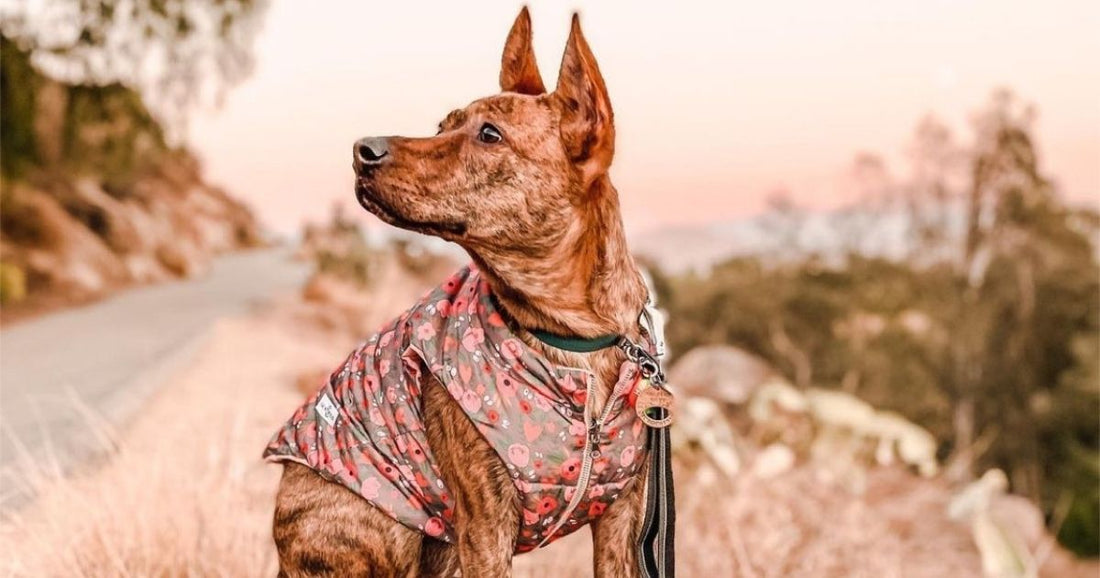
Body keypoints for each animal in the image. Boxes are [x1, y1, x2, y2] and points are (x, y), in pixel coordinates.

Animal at [269, 9, 655, 576]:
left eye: (489, 134)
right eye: (442, 125)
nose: (362, 150)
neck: (569, 339)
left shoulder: (623, 518)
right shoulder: (484, 526)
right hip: (393, 526)